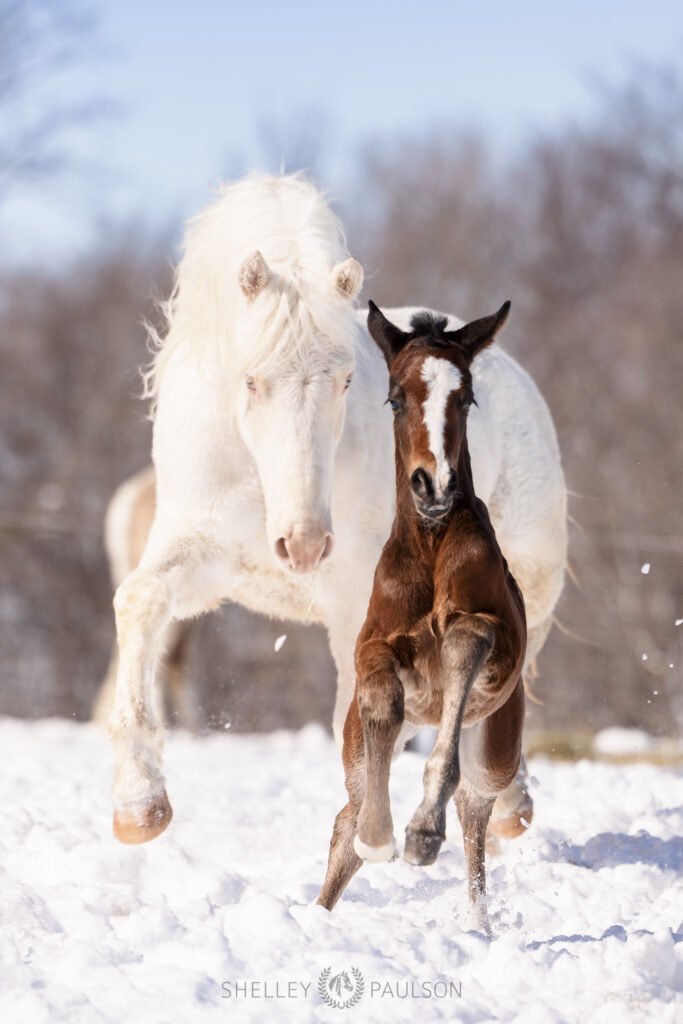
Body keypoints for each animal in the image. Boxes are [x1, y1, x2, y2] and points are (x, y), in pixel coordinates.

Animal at [107, 173, 566, 845]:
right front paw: (139, 805)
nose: (302, 544)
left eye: (348, 382)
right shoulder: (199, 556)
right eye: (251, 380)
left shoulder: (357, 595)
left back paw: (505, 800)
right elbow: (139, 603)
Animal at [318, 302, 526, 935]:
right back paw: (317, 913)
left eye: (468, 398)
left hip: (496, 748)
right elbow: (381, 694)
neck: (432, 546)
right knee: (347, 813)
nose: (433, 486)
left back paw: (477, 922)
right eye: (394, 398)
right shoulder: (373, 647)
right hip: (354, 744)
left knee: (475, 809)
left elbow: (465, 643)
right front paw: (379, 838)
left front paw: (419, 834)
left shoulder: (490, 634)